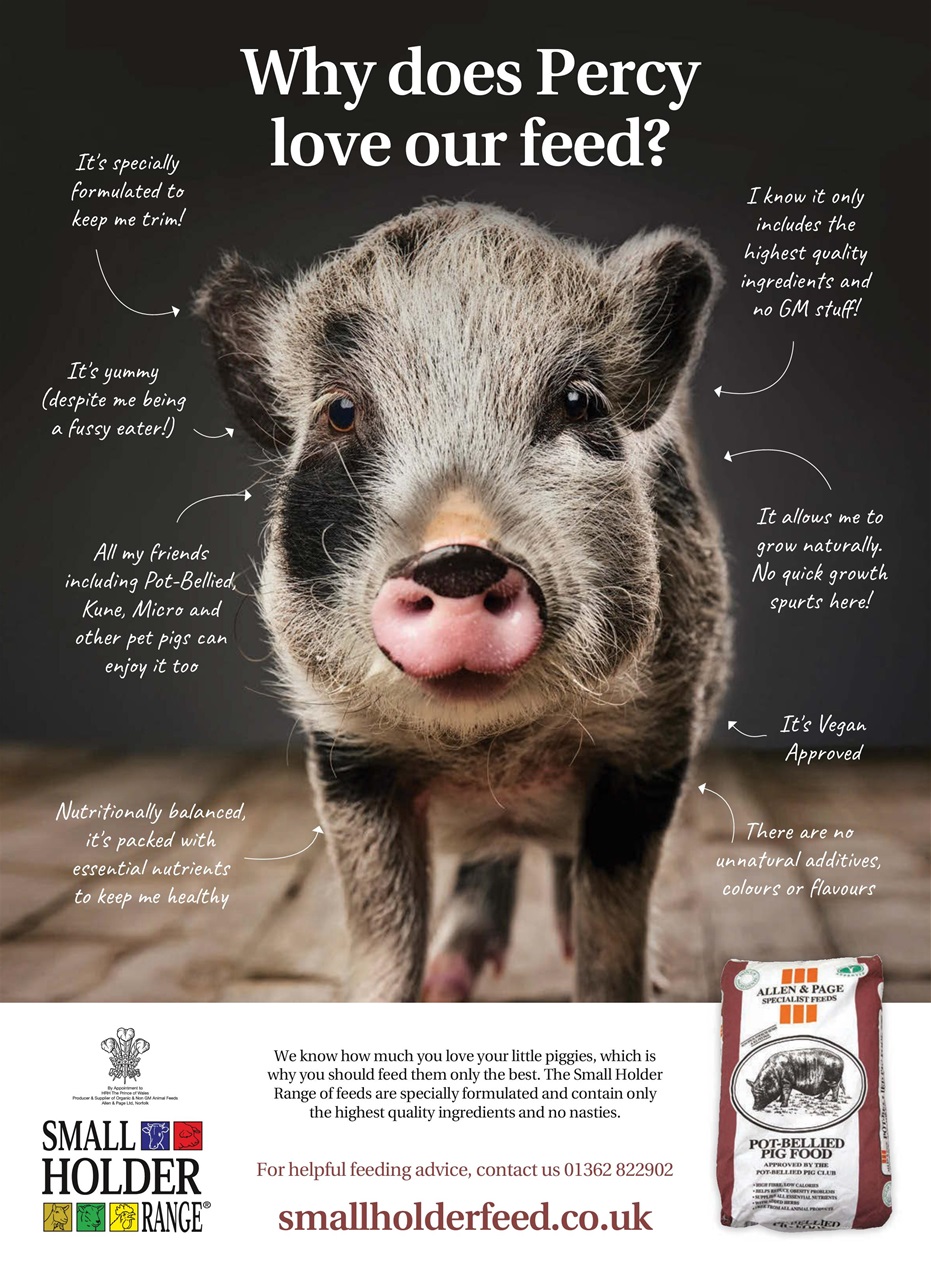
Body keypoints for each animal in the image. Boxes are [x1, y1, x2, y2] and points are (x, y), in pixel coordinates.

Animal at [195, 202, 730, 1002]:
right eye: (340, 412)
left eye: (578, 401)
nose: (456, 558)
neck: (491, 758)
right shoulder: (346, 753)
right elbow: (381, 932)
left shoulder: (656, 739)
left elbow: (612, 929)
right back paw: (451, 979)